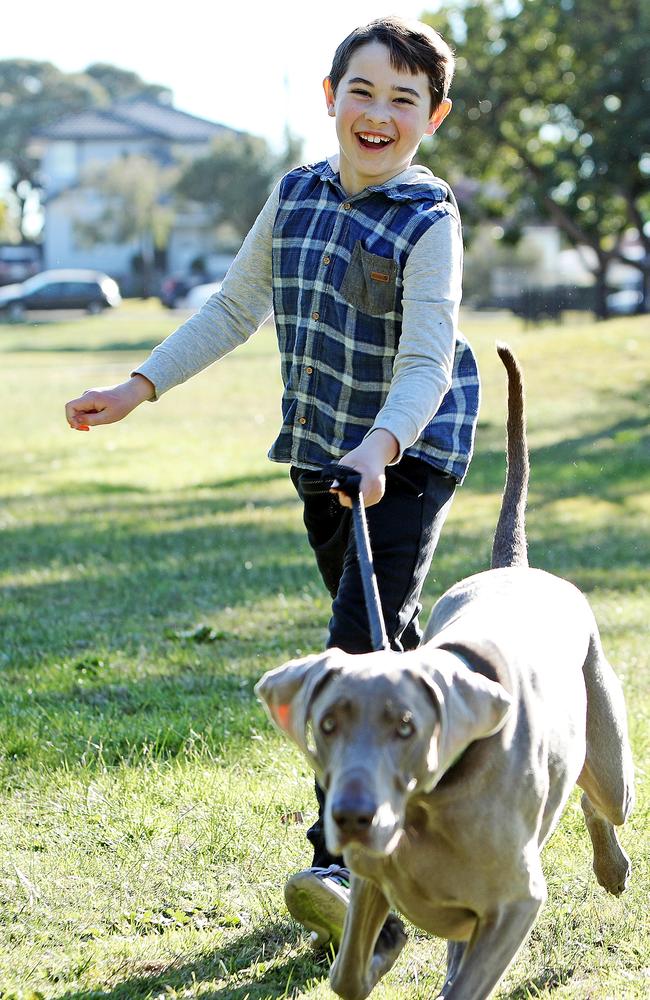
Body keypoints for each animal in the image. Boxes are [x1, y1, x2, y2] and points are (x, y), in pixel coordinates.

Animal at [254, 346, 632, 1000]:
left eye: (407, 727)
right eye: (326, 725)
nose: (350, 816)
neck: (430, 803)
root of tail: (515, 566)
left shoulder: (515, 904)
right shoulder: (377, 878)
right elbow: (348, 971)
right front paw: (379, 949)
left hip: (608, 754)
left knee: (600, 798)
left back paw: (611, 868)